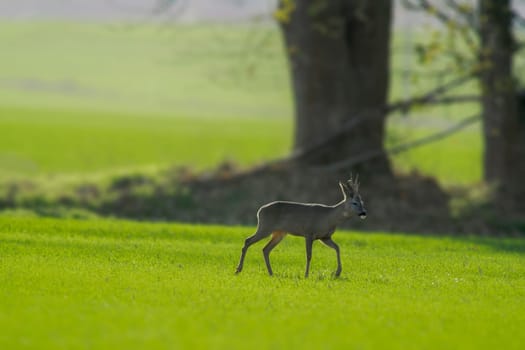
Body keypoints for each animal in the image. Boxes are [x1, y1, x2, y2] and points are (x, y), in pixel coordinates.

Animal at [235, 176, 366, 278]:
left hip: (279, 233)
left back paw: (271, 273)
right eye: (354, 203)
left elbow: (337, 248)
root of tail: (259, 211)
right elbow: (309, 255)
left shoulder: (325, 237)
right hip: (265, 227)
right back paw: (238, 269)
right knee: (248, 241)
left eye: (362, 202)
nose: (364, 213)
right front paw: (306, 275)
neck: (329, 217)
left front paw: (337, 273)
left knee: (265, 249)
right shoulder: (309, 233)